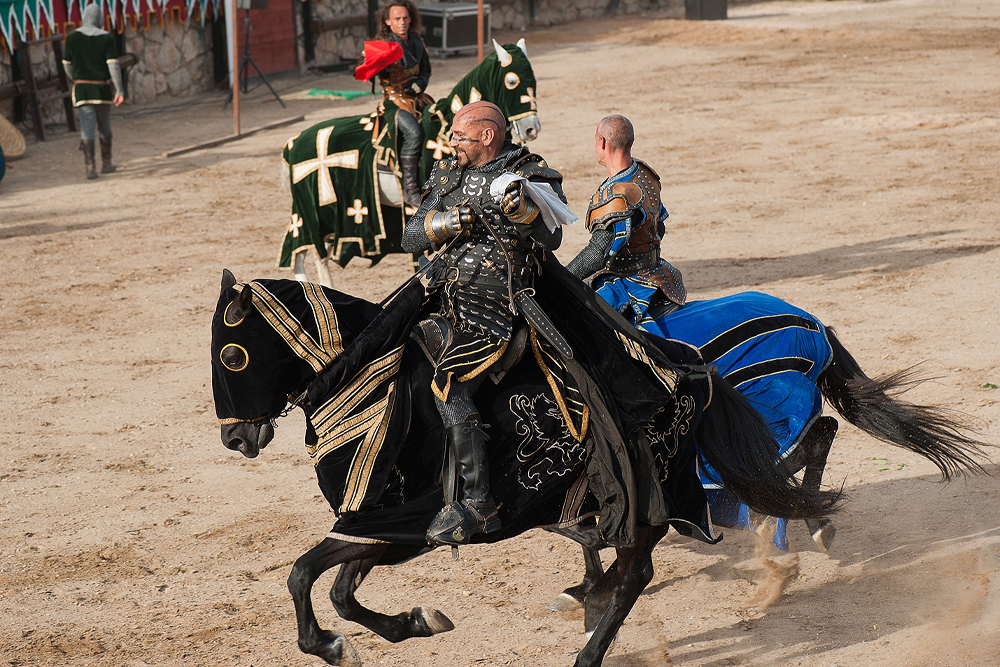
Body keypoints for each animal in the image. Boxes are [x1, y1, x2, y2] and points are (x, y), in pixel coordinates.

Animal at [278, 41, 544, 288]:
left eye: (533, 79)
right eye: (512, 81)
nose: (532, 129)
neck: (443, 132)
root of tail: (293, 143)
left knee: (305, 253)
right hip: (312, 214)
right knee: (309, 253)